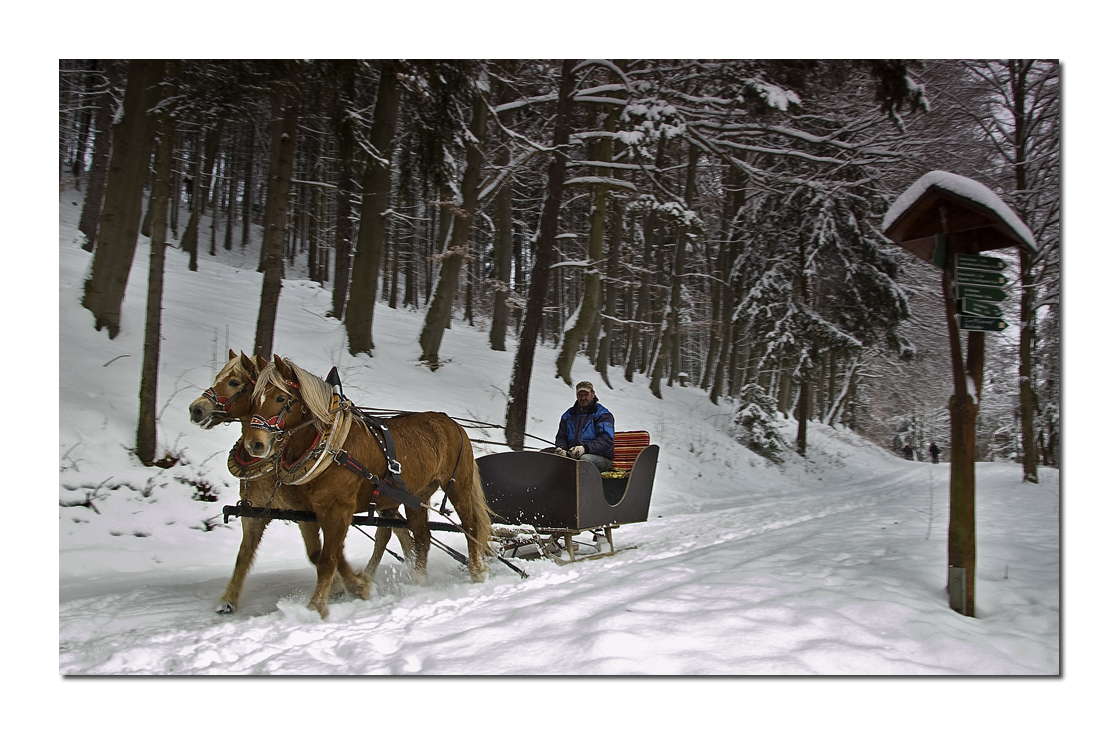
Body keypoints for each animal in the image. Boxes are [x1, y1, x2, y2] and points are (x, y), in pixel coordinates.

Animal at [242, 355, 491, 616]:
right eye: (254, 399)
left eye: (281, 398)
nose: (254, 444)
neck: (332, 447)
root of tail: (453, 423)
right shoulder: (316, 510)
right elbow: (329, 555)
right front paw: (359, 586)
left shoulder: (339, 510)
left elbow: (328, 559)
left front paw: (316, 607)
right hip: (416, 496)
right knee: (423, 536)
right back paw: (418, 581)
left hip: (458, 486)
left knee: (470, 525)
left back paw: (476, 570)